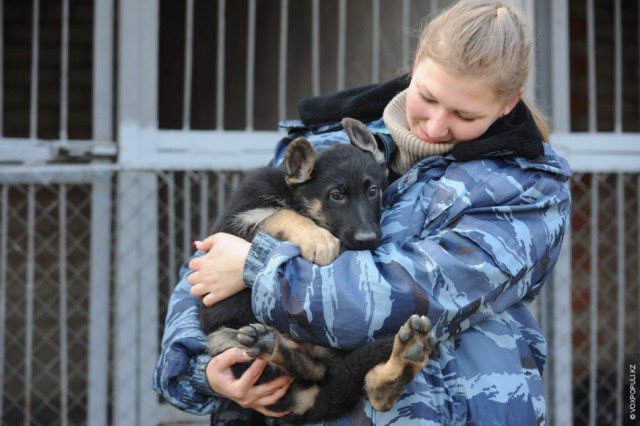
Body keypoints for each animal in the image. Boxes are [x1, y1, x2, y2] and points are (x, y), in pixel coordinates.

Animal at [201, 118, 436, 424]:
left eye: (372, 191)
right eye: (336, 195)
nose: (368, 239)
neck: (292, 194)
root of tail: (308, 405)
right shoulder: (236, 221)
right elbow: (279, 213)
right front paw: (319, 240)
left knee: (361, 384)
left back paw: (405, 356)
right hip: (223, 342)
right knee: (314, 371)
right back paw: (272, 346)